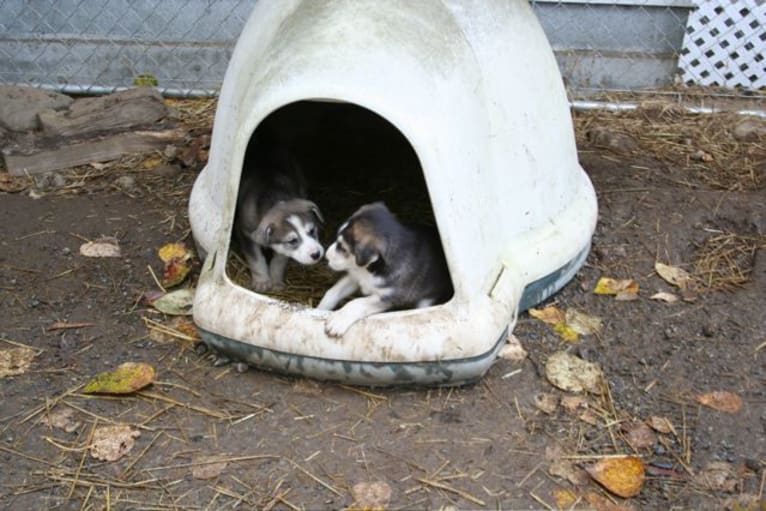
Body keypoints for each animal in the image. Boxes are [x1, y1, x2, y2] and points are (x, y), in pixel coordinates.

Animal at [237, 133, 328, 292]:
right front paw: (262, 282)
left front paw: (276, 282)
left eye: (312, 231)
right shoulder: (246, 234)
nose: (316, 254)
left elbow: (279, 261)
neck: (273, 196)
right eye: (292, 241)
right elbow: (256, 259)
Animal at [316, 202, 452, 338]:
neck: (369, 270)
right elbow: (333, 292)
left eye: (343, 249)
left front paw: (338, 320)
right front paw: (319, 309)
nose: (326, 256)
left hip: (426, 301)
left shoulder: (389, 297)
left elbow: (358, 302)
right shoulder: (354, 276)